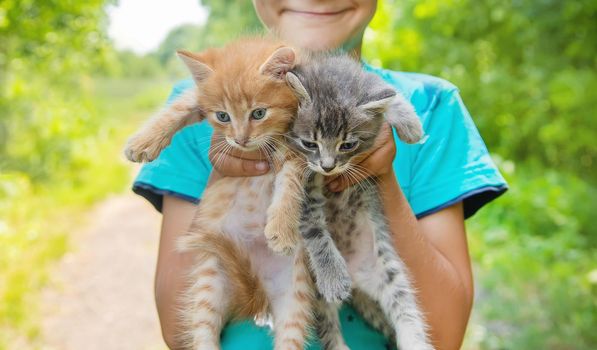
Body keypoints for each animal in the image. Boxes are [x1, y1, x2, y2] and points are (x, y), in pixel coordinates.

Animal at [286, 55, 434, 350]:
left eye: (347, 145)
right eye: (310, 143)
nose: (328, 166)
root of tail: (357, 280)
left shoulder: (368, 83)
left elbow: (390, 94)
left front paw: (410, 124)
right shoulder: (302, 184)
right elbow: (315, 230)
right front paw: (332, 274)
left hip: (389, 272)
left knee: (405, 308)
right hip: (317, 293)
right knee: (330, 330)